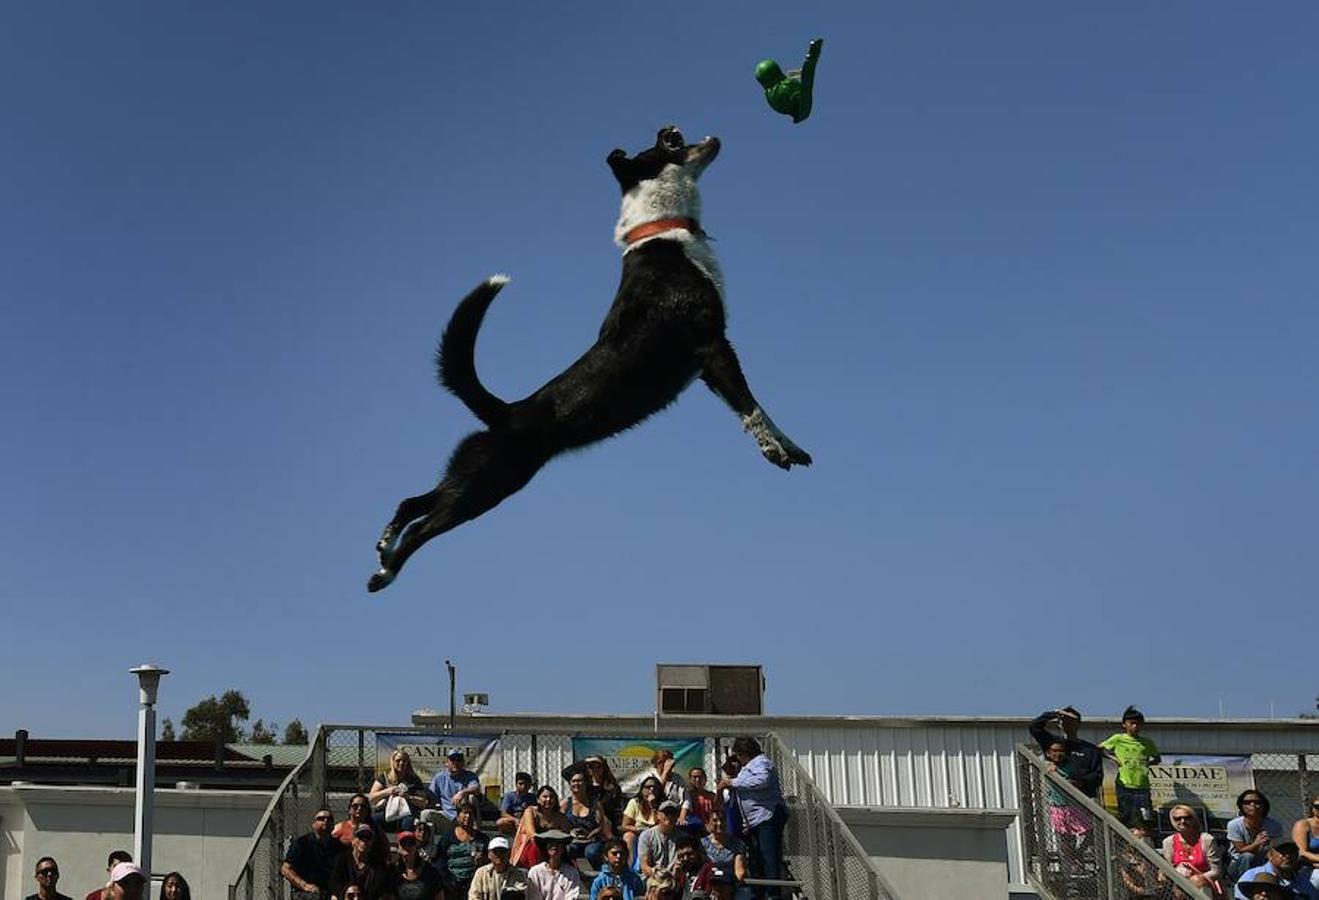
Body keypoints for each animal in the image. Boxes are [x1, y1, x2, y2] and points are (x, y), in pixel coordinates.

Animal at [366, 126, 807, 588]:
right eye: (666, 143)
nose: (668, 127)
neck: (661, 233)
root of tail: (506, 411)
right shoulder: (712, 345)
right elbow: (752, 409)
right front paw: (777, 452)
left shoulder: (706, 366)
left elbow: (753, 409)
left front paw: (792, 449)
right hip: (487, 485)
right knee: (422, 526)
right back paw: (387, 573)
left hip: (469, 474)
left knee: (412, 502)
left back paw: (383, 553)